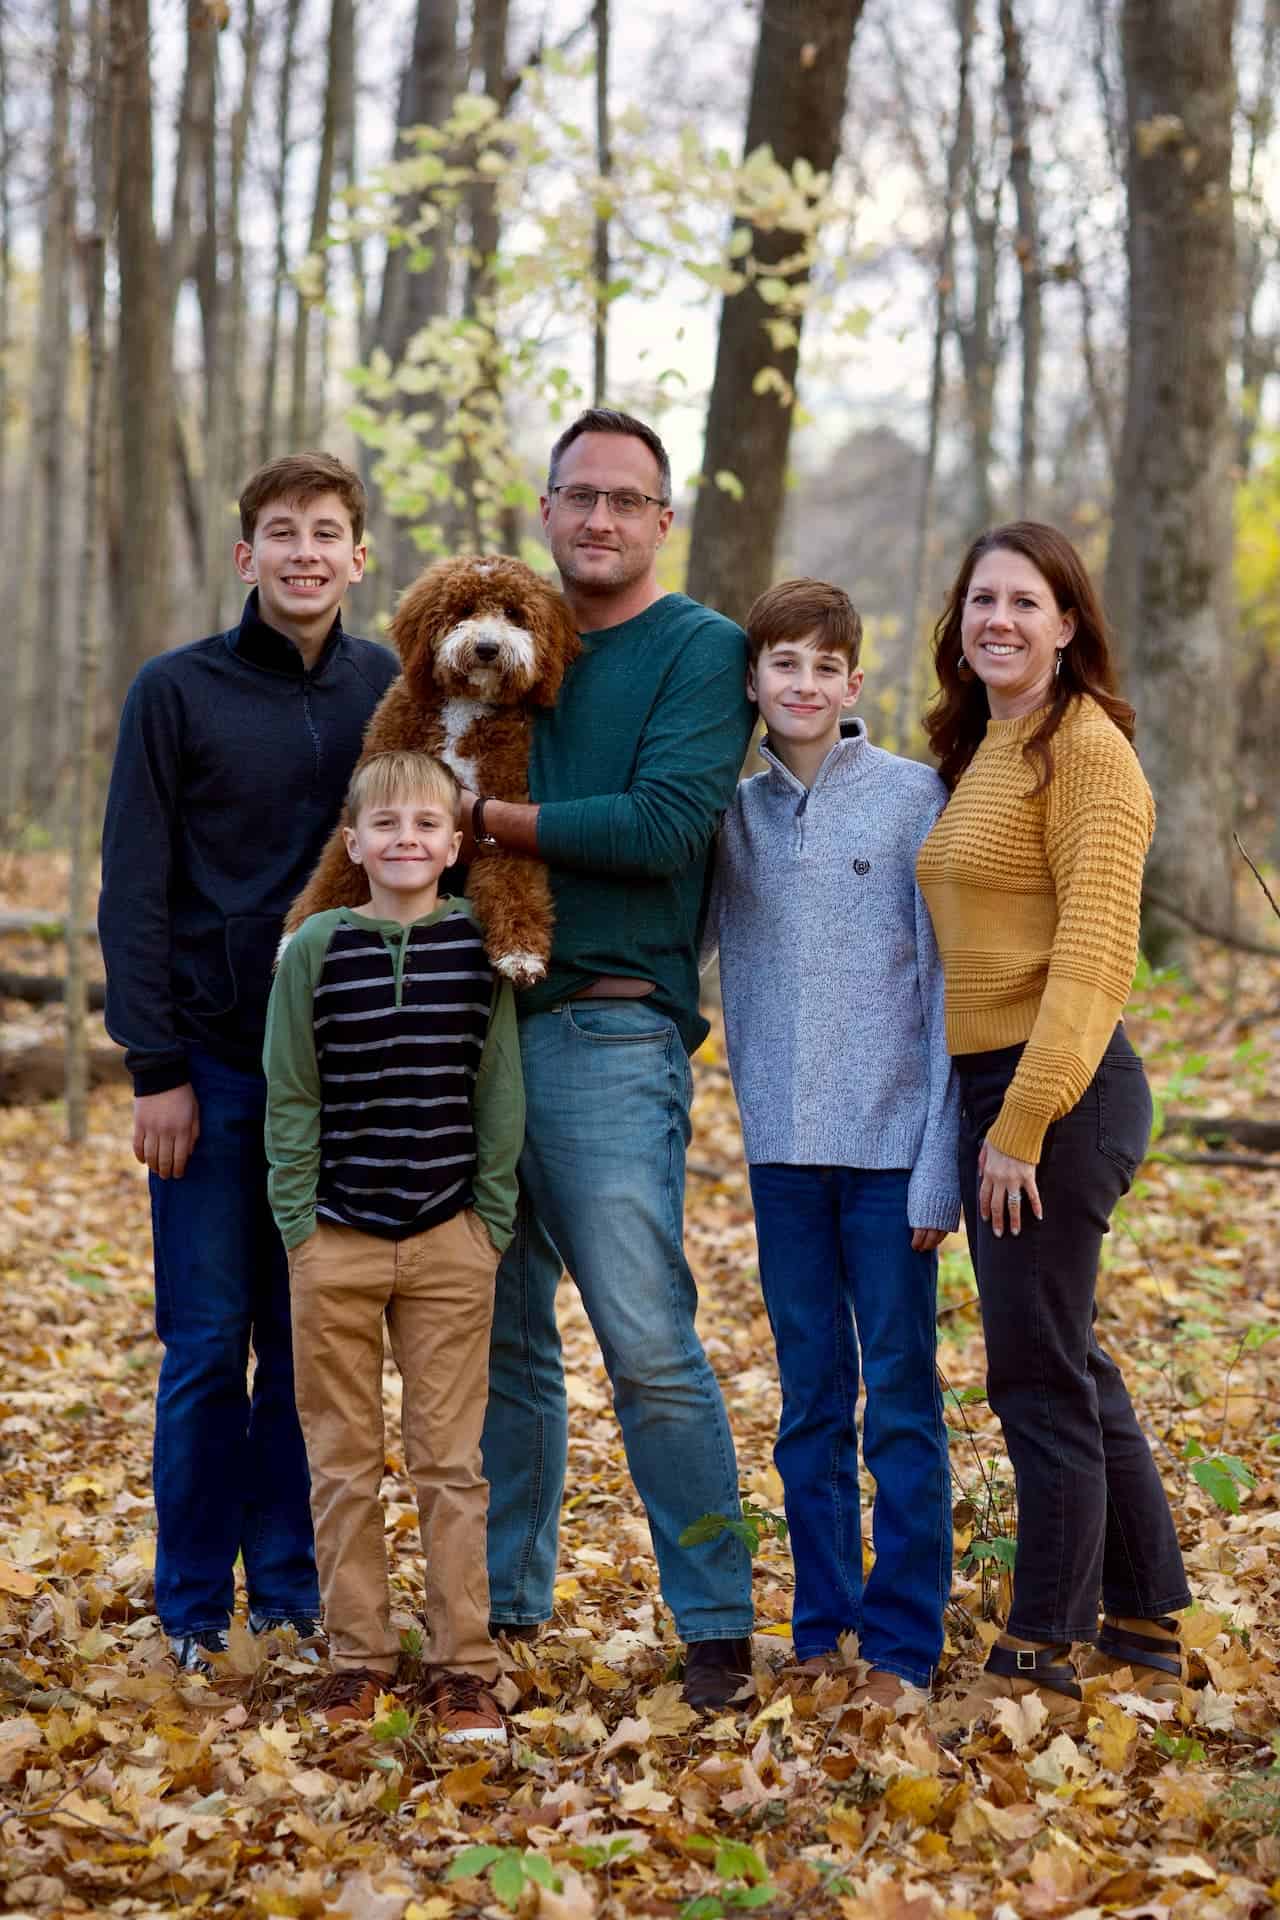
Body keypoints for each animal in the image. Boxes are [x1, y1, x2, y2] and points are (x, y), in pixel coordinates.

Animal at [285, 549, 579, 983]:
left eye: (513, 613)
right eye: (465, 609)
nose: (487, 647)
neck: (466, 703)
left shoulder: (506, 806)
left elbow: (514, 880)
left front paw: (520, 951)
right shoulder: (367, 792)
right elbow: (338, 868)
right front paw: (297, 932)